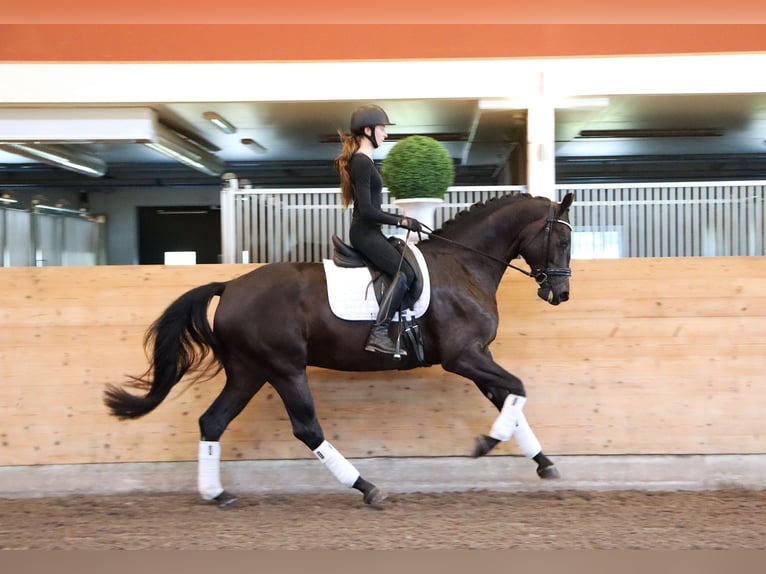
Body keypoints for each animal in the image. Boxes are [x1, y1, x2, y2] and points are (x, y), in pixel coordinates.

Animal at [106, 194, 576, 508]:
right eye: (563, 241)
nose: (561, 294)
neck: (463, 265)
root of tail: (231, 286)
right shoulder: (464, 356)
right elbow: (518, 389)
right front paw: (484, 444)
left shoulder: (478, 357)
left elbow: (511, 400)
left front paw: (543, 463)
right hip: (284, 369)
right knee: (307, 428)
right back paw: (368, 488)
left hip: (248, 372)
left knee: (213, 421)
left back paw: (217, 493)